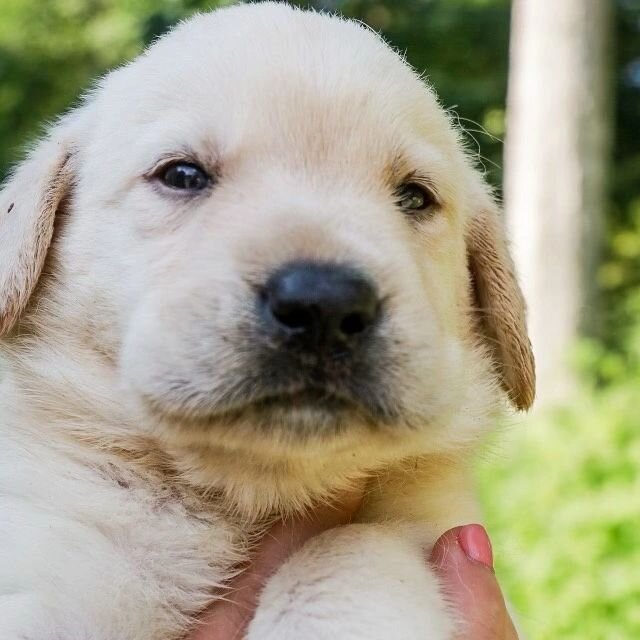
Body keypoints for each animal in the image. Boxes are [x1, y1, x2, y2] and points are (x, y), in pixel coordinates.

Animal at [0, 2, 532, 636]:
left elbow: (351, 542)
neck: (245, 494)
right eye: (181, 175)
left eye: (414, 198)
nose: (324, 303)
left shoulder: (435, 524)